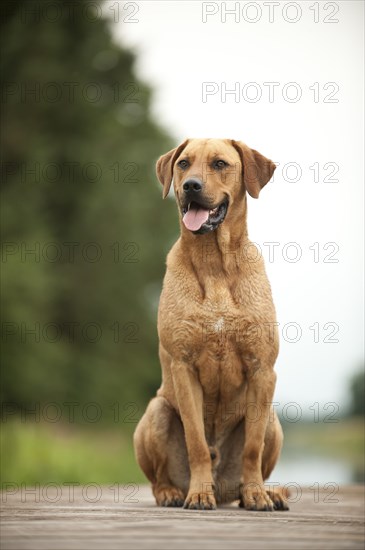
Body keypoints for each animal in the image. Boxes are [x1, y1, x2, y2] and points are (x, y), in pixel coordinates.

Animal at [133, 138, 288, 512]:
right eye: (183, 164)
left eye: (220, 164)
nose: (191, 186)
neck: (214, 262)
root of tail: (225, 487)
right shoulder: (184, 366)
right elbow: (197, 442)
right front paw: (199, 493)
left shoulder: (263, 368)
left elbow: (252, 447)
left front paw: (257, 494)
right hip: (156, 411)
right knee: (158, 478)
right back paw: (173, 492)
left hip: (274, 420)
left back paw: (263, 492)